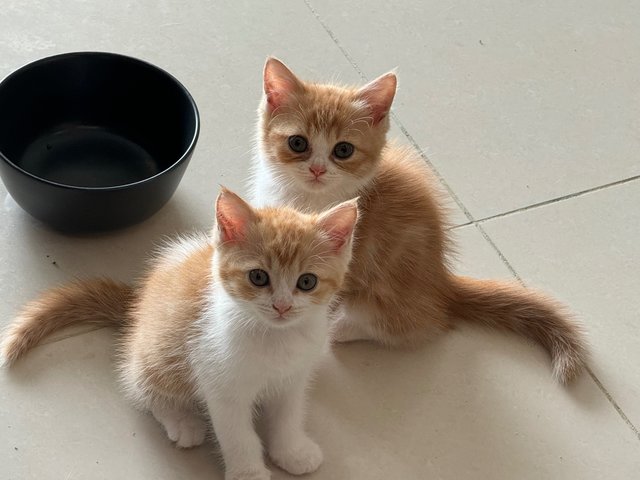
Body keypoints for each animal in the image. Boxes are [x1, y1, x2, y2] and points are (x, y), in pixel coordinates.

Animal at [0, 188, 360, 480]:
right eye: (258, 277)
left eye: (307, 282)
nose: (282, 306)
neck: (275, 337)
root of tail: (138, 304)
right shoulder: (219, 382)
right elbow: (237, 434)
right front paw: (249, 472)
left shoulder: (294, 378)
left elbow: (287, 417)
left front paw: (292, 452)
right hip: (157, 353)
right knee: (141, 386)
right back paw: (182, 422)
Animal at [249, 58, 584, 384]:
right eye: (297, 143)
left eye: (343, 150)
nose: (317, 170)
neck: (306, 198)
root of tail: (442, 284)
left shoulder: (344, 259)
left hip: (387, 296)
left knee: (420, 326)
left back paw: (345, 328)